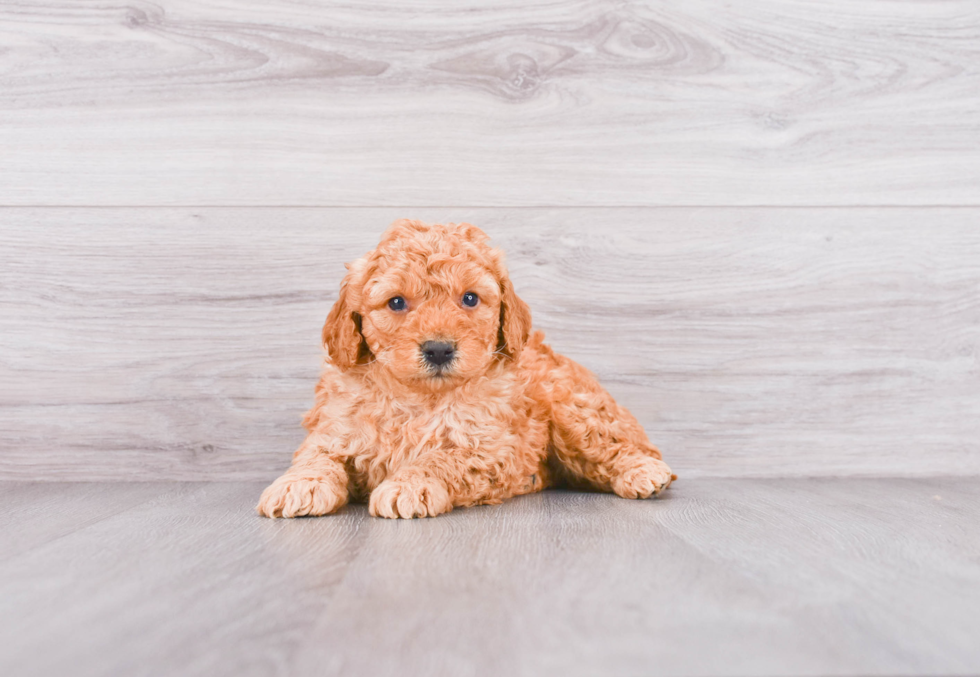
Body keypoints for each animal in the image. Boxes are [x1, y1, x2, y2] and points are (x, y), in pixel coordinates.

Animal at [260, 219, 672, 520]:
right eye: (396, 302)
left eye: (470, 298)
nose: (439, 349)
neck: (419, 397)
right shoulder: (336, 427)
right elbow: (316, 456)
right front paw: (299, 484)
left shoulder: (489, 445)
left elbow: (442, 458)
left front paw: (409, 484)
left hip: (575, 411)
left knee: (624, 445)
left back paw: (645, 472)